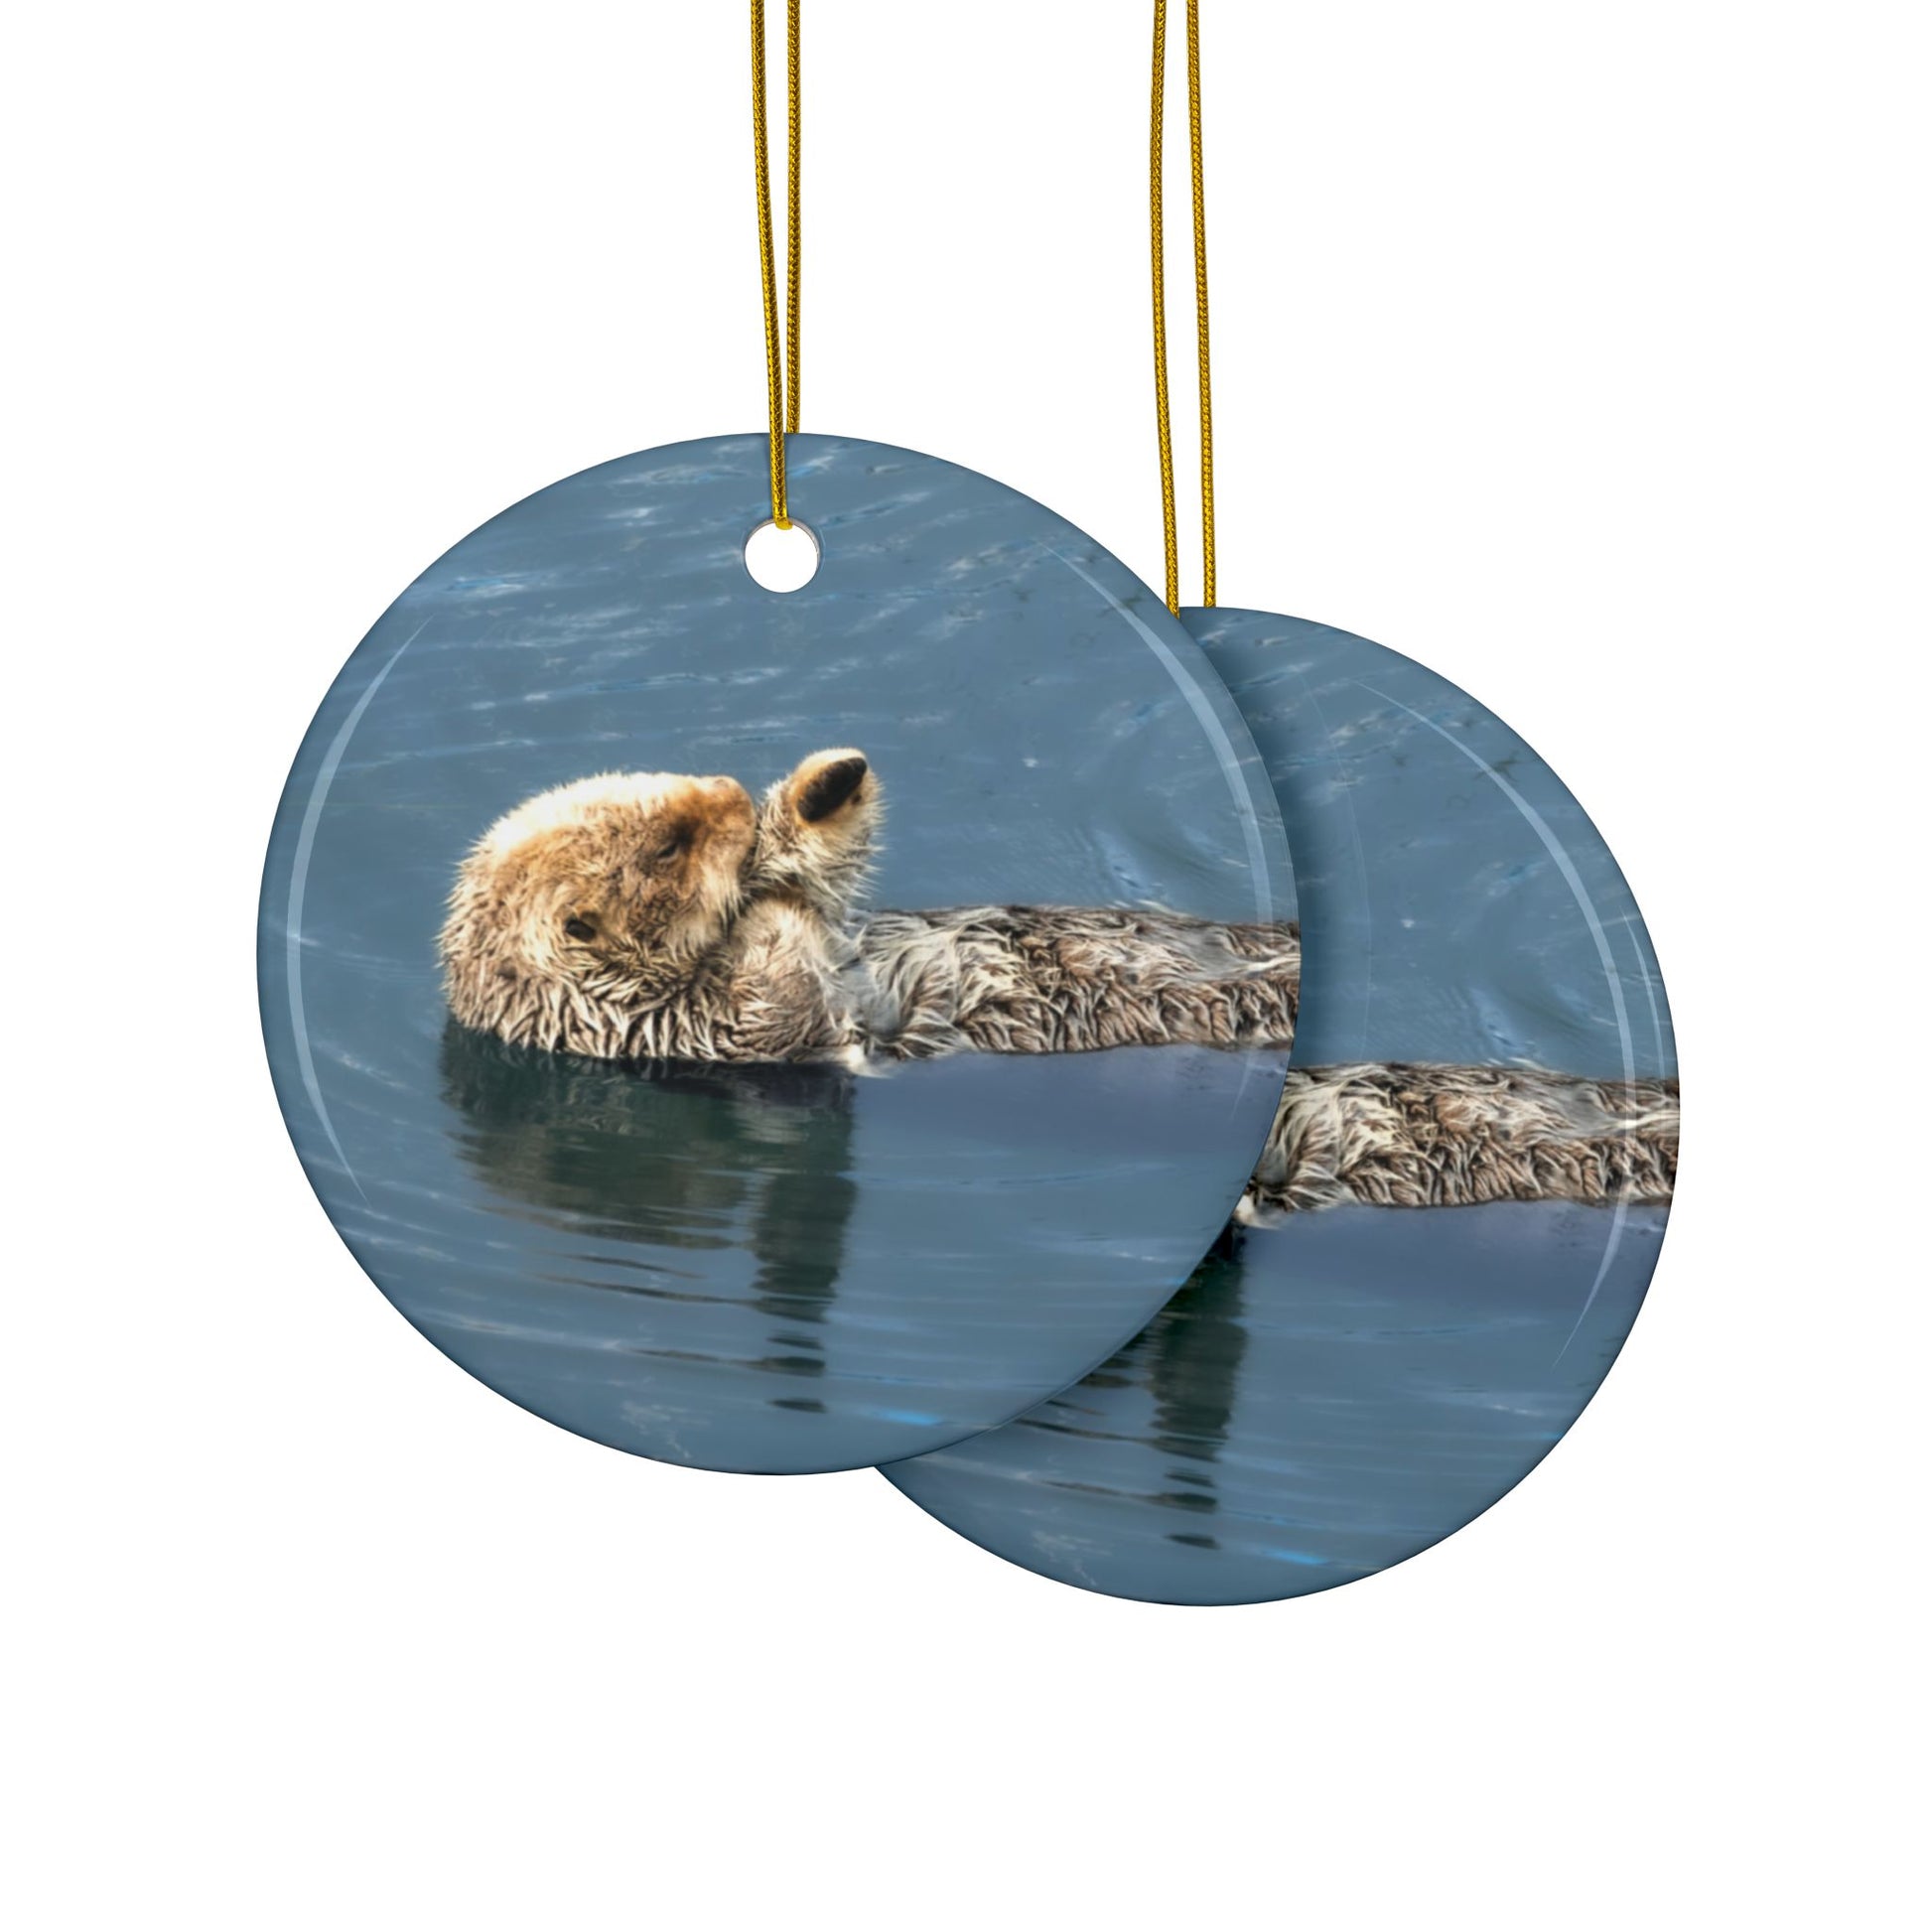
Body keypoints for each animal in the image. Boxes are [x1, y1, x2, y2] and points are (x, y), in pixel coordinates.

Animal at [441, 748, 1677, 1211]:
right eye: (663, 844)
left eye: (665, 792)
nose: (730, 799)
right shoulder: (707, 1035)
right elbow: (782, 982)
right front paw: (776, 880)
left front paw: (819, 792)